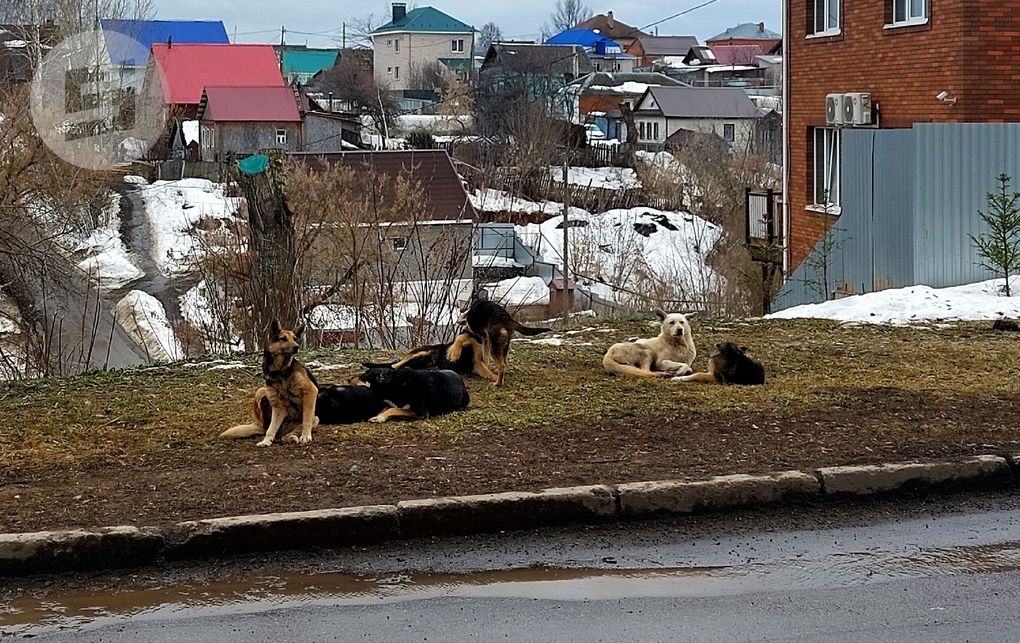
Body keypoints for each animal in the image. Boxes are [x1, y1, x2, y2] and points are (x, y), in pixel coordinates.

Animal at [219, 320, 318, 449]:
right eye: (283, 339)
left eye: (295, 338)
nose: (297, 346)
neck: (280, 371)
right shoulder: (278, 406)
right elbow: (271, 429)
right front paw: (266, 441)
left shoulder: (310, 391)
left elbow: (306, 418)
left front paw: (306, 435)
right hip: (261, 391)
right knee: (270, 428)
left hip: (314, 419)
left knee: (291, 432)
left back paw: (292, 437)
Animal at [361, 332, 499, 383]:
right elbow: (461, 338)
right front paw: (454, 354)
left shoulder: (476, 363)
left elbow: (488, 372)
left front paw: (496, 377)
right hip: (420, 353)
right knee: (394, 366)